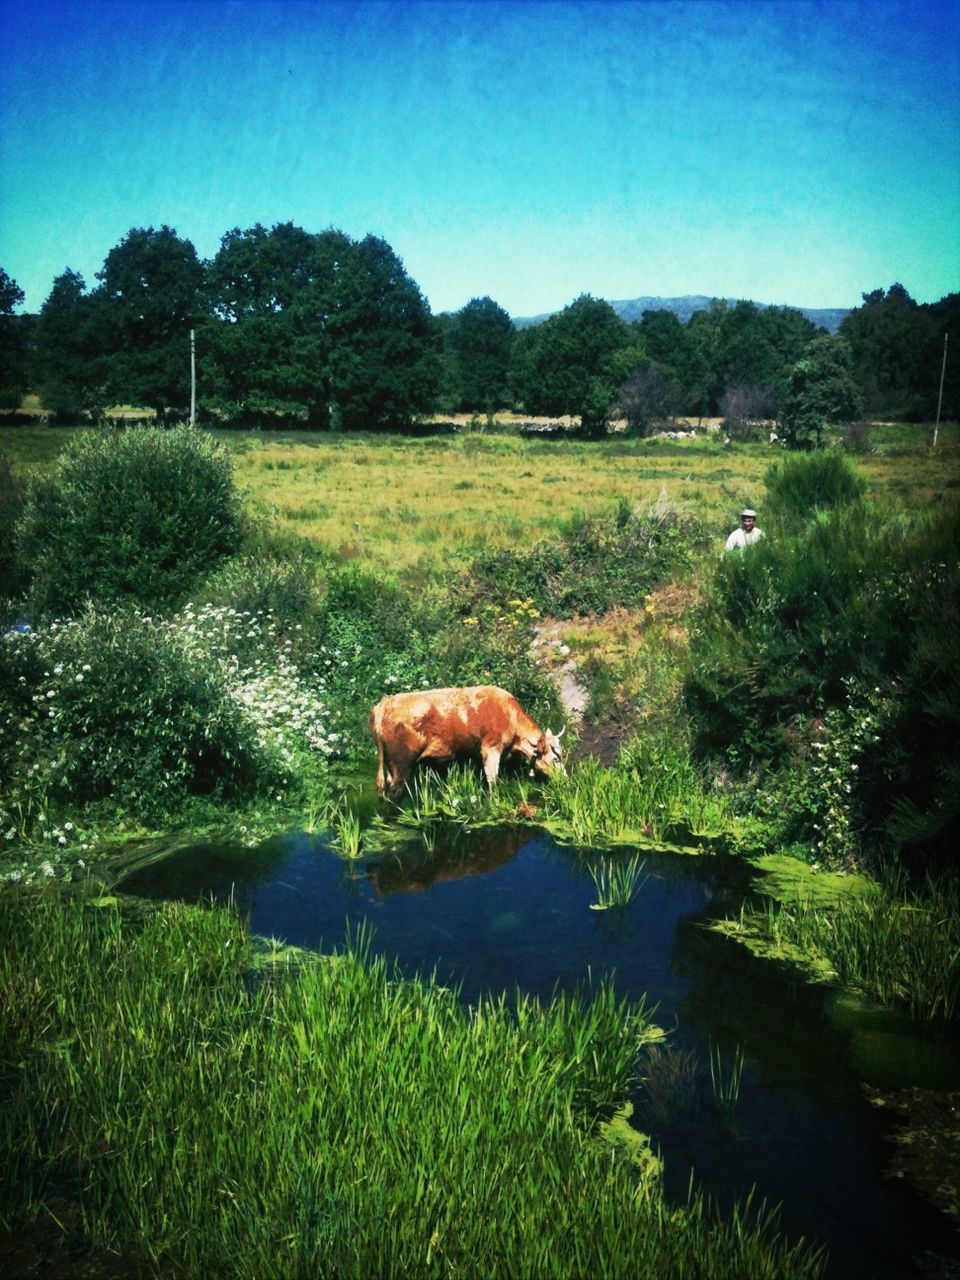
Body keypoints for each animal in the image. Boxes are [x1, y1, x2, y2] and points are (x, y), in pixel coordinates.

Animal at [368, 686, 563, 793]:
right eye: (555, 759)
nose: (565, 779)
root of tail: (386, 702)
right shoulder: (491, 749)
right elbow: (493, 780)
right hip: (401, 764)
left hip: (390, 764)